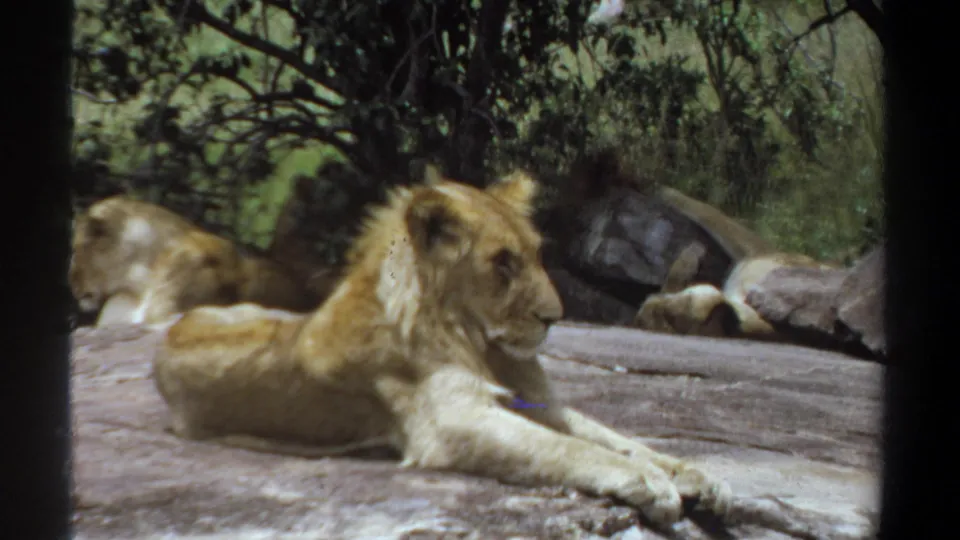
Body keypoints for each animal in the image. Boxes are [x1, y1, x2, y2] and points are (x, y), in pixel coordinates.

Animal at [152, 167, 733, 527]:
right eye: (502, 263)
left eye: (535, 254)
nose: (554, 317)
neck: (480, 342)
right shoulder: (451, 423)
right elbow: (570, 449)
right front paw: (653, 485)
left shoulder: (537, 402)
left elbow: (615, 438)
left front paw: (692, 474)